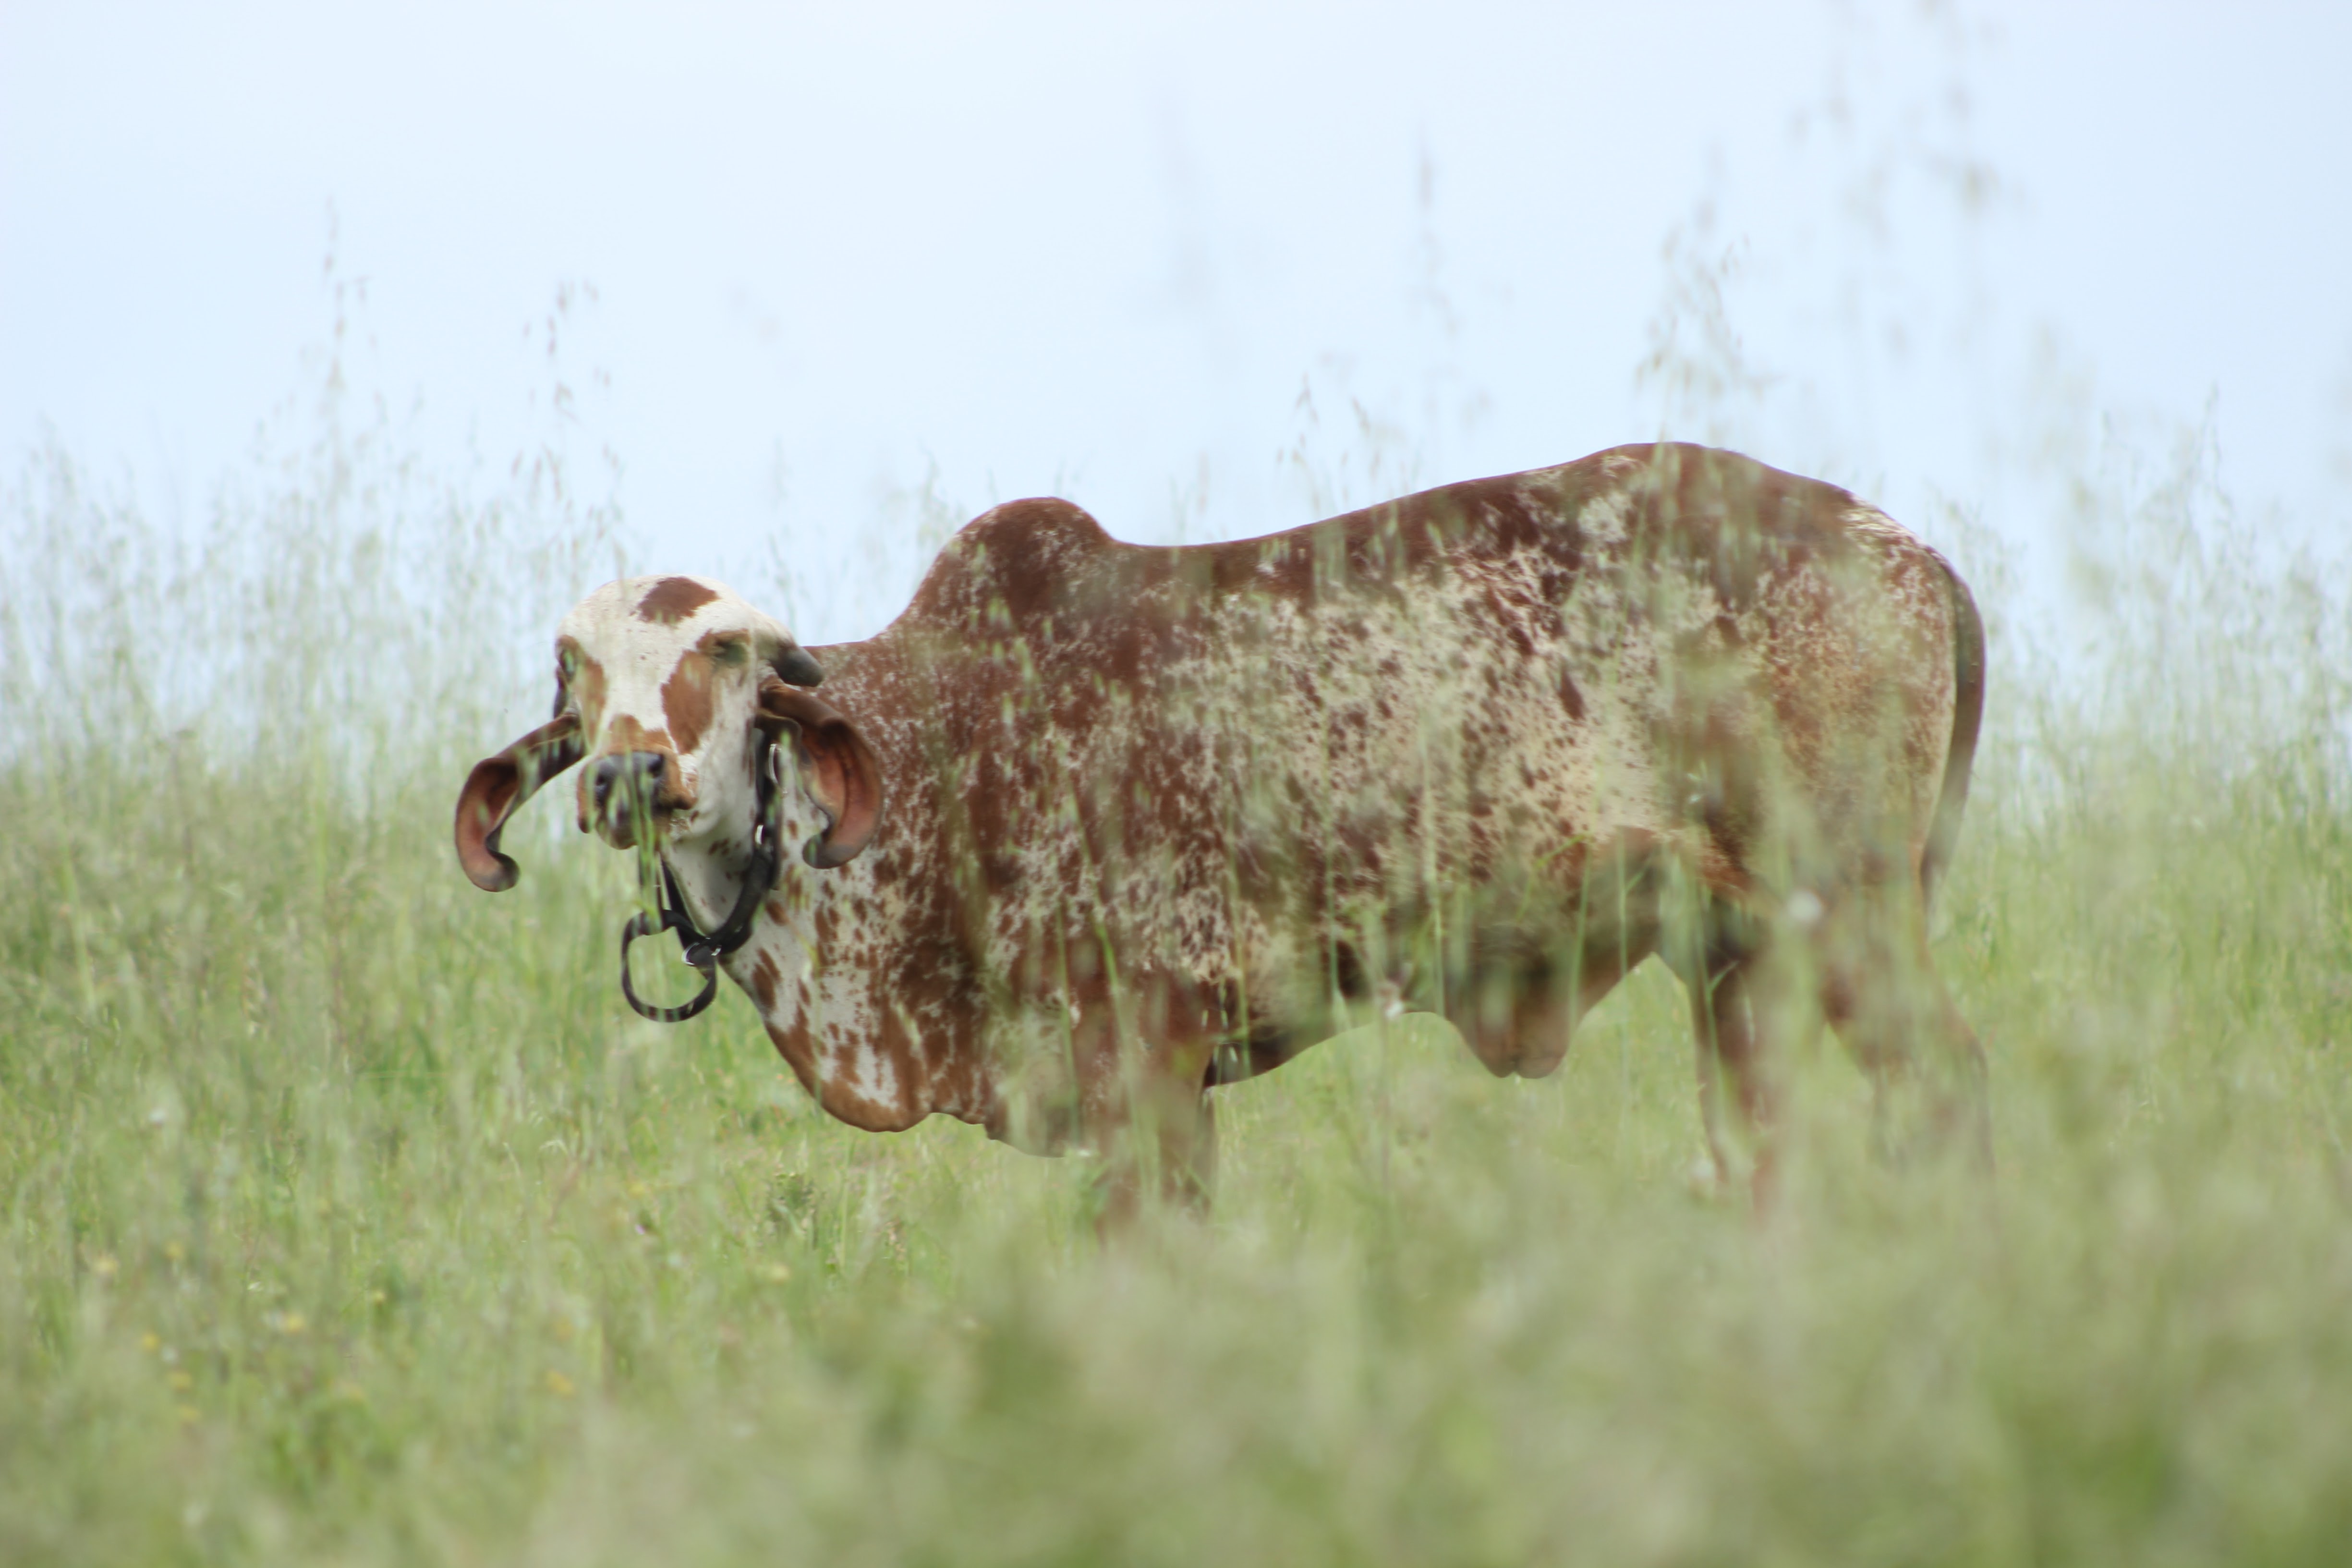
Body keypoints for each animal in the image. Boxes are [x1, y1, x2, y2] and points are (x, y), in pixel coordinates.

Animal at [455, 443, 1987, 1219]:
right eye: (575, 669)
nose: (628, 774)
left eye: (723, 656)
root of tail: (1912, 553)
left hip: (1851, 923)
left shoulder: (1149, 1055)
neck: (950, 751)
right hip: (1735, 964)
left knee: (1941, 1101)